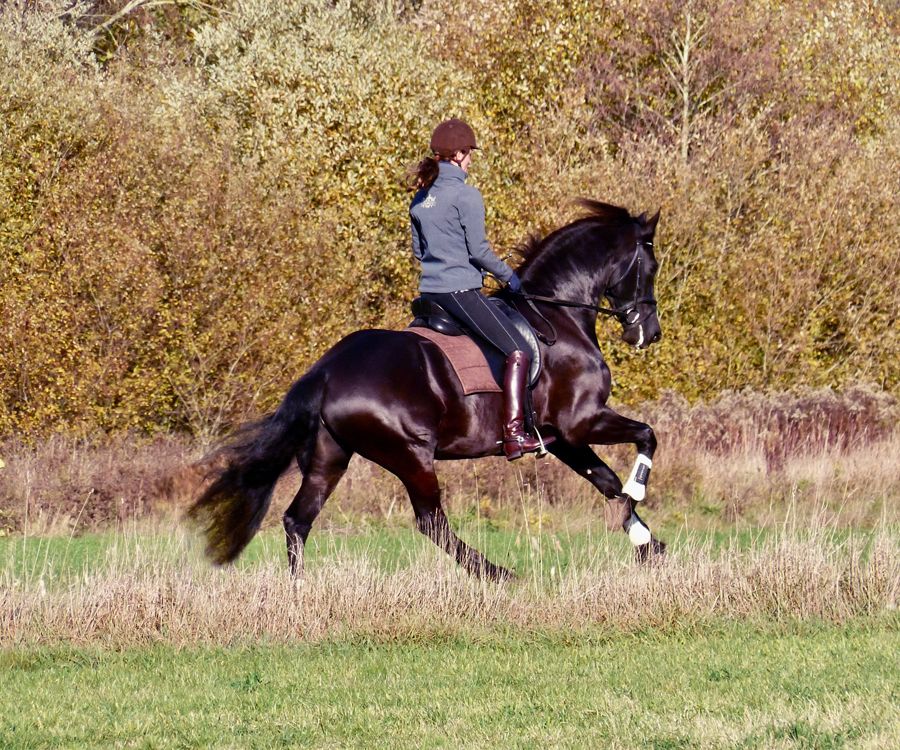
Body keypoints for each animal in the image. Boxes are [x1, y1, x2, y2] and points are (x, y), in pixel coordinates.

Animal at [189, 200, 666, 581]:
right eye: (651, 268)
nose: (650, 334)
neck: (558, 316)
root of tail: (326, 371)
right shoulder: (581, 421)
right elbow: (647, 436)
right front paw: (640, 495)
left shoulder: (561, 437)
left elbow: (606, 482)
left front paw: (647, 543)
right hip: (412, 455)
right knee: (431, 522)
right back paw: (497, 574)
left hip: (331, 456)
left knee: (297, 519)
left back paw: (298, 589)